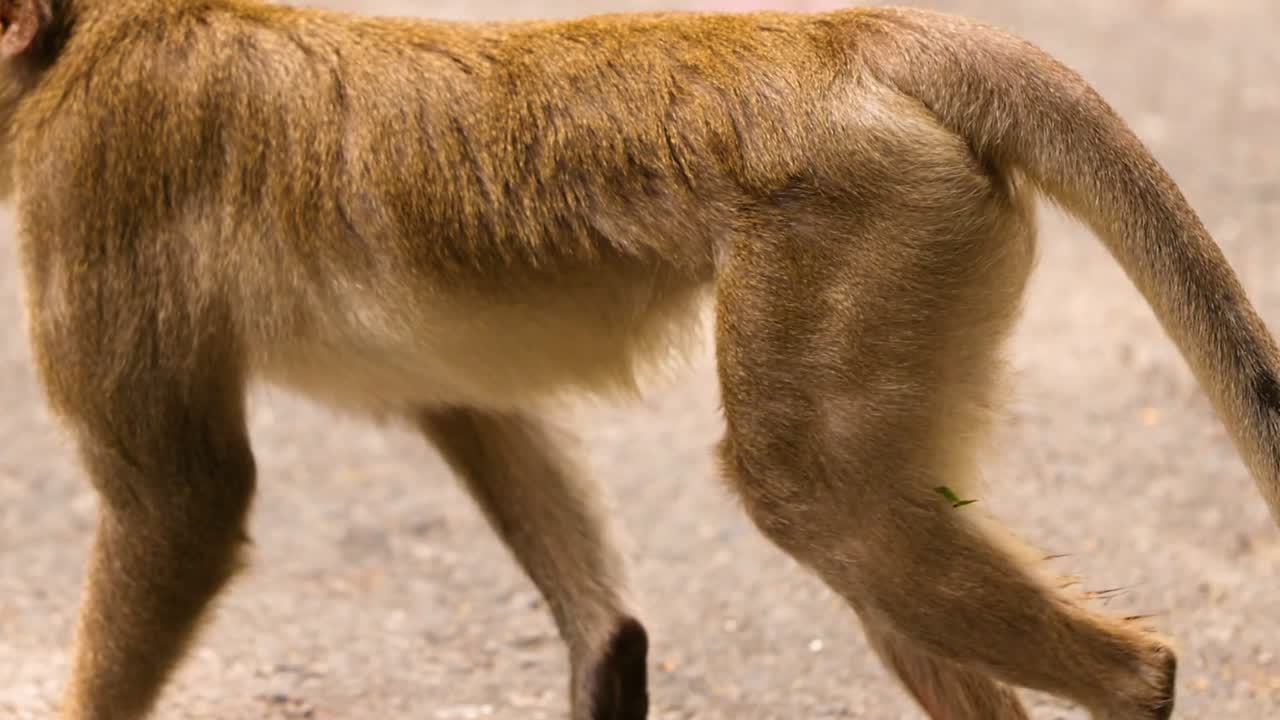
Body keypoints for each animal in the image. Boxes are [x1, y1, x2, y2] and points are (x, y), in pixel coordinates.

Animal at [1, 0, 1277, 718]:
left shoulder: (89, 168)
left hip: (864, 224)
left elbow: (184, 497)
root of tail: (840, 34)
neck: (88, 33)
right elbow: (465, 406)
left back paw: (1130, 683)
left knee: (818, 503)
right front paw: (607, 657)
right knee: (863, 532)